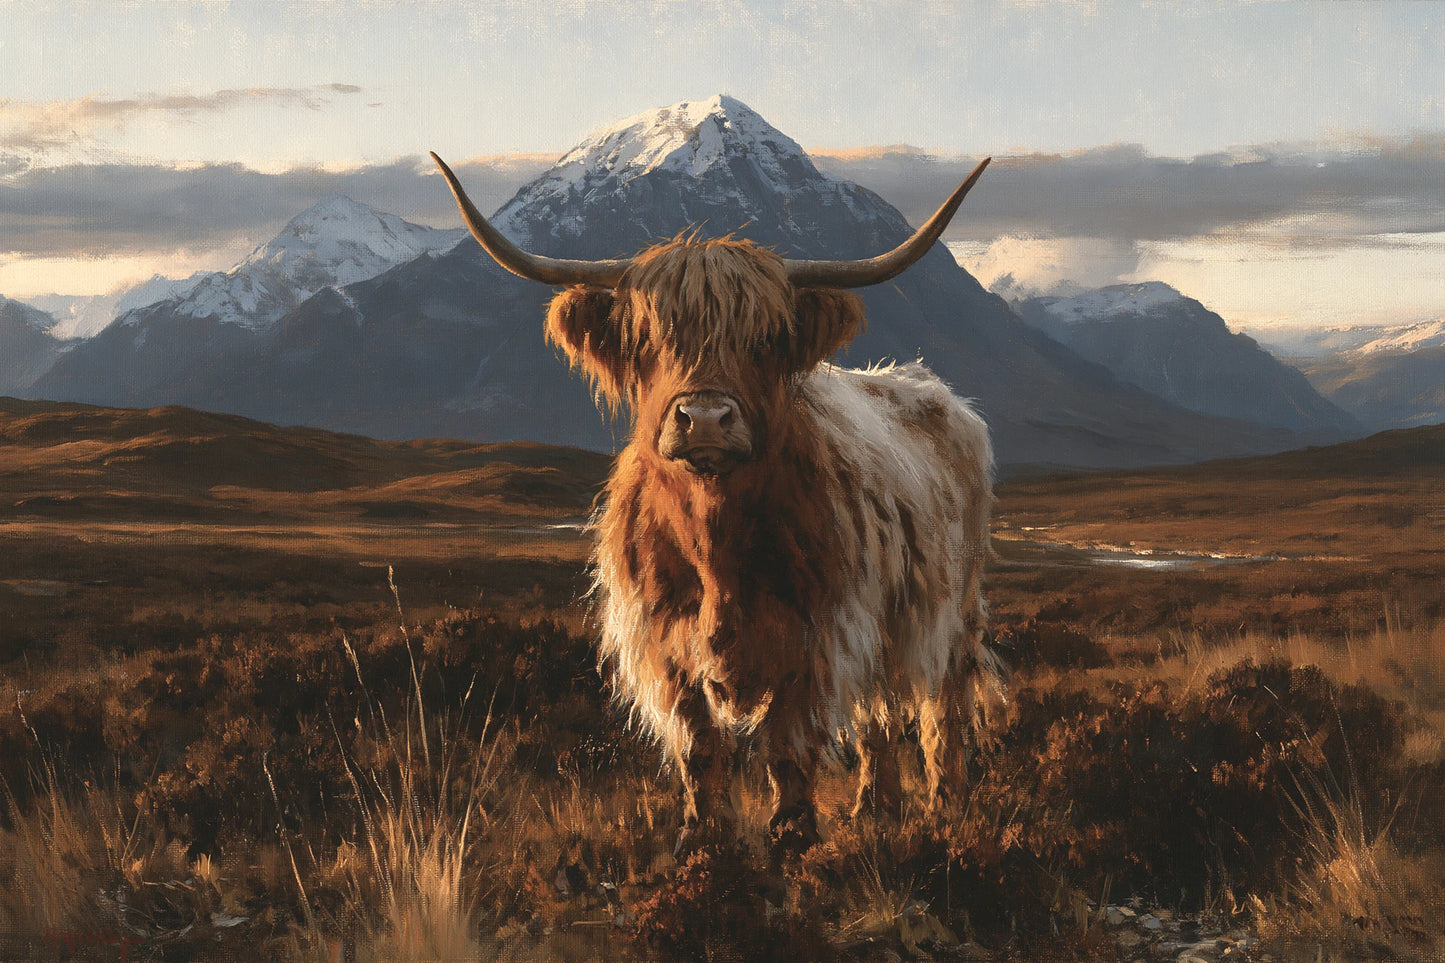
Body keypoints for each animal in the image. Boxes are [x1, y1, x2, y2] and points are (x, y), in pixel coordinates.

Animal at [431, 151, 1004, 855]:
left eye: (765, 338)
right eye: (648, 339)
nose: (704, 418)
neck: (715, 544)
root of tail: (935, 389)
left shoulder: (819, 630)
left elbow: (788, 741)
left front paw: (792, 835)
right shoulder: (663, 637)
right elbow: (699, 744)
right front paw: (704, 839)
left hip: (951, 607)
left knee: (938, 706)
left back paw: (946, 807)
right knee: (877, 711)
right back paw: (875, 805)